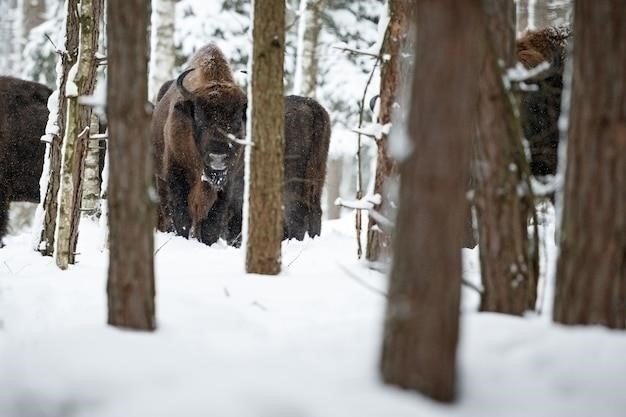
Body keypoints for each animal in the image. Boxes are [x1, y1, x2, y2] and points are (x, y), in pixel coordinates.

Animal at [151, 43, 246, 244]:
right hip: (160, 179)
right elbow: (182, 217)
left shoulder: (227, 183)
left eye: (236, 121)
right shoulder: (176, 175)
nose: (218, 159)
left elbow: (212, 223)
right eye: (200, 119)